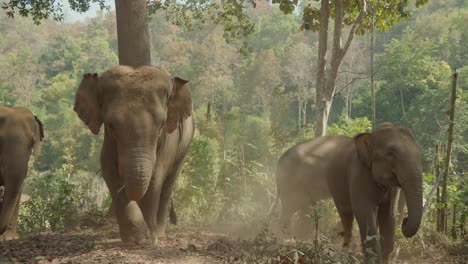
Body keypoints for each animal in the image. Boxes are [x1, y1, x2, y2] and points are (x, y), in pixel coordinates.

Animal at [74, 66, 195, 245]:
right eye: (111, 125)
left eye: (162, 125)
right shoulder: (108, 143)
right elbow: (109, 172)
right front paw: (136, 240)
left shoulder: (166, 144)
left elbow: (155, 179)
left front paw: (150, 240)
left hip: (185, 145)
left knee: (167, 185)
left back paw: (160, 233)